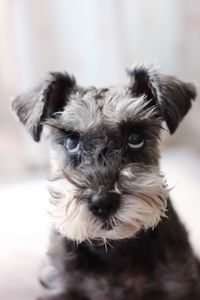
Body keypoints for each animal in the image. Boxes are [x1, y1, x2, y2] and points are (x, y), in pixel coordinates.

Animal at [11, 62, 199, 298]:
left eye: (135, 138)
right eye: (71, 141)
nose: (103, 203)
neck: (112, 248)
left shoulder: (179, 286)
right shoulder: (60, 286)